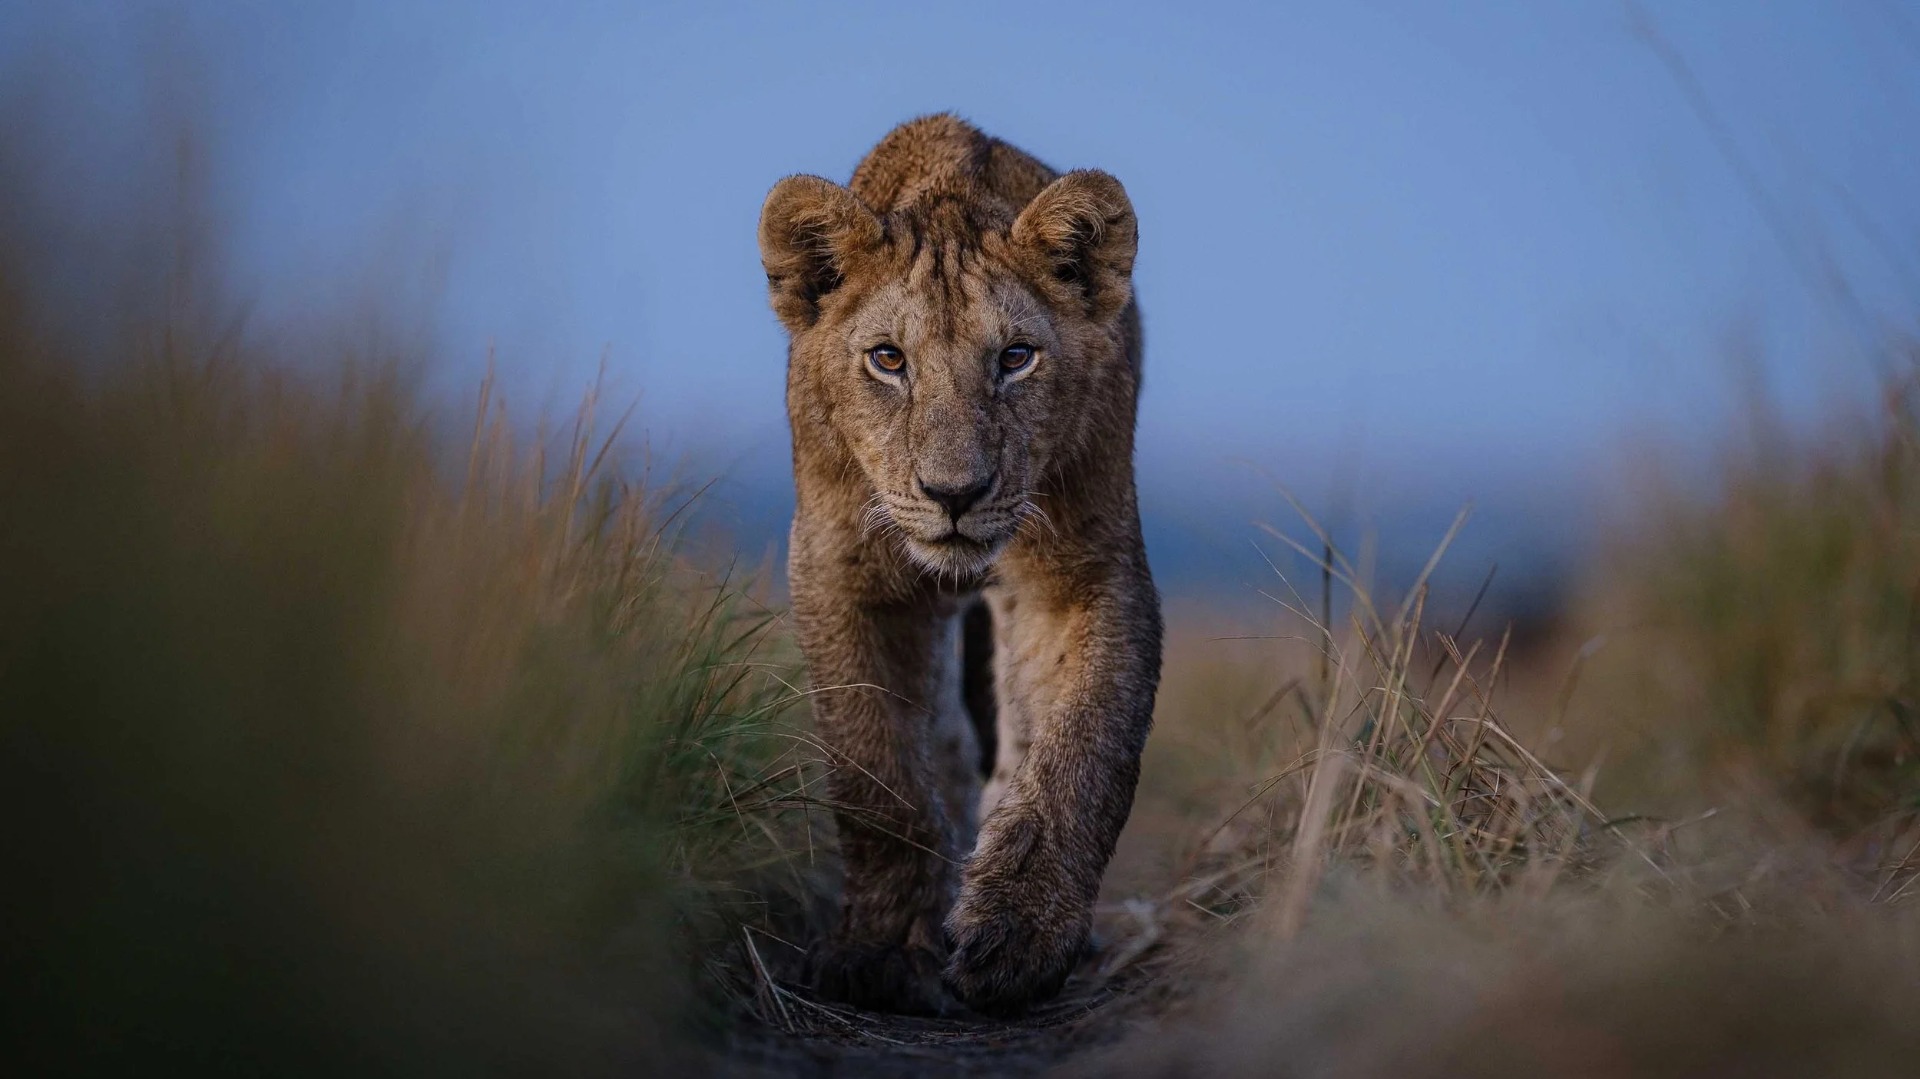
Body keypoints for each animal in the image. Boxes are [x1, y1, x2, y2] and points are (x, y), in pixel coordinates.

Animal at [758, 114, 1162, 1015]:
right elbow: (876, 771)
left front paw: (1023, 932)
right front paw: (879, 950)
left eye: (1015, 358)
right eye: (888, 360)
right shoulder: (840, 569)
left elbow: (1085, 748)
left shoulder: (1083, 569)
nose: (954, 492)